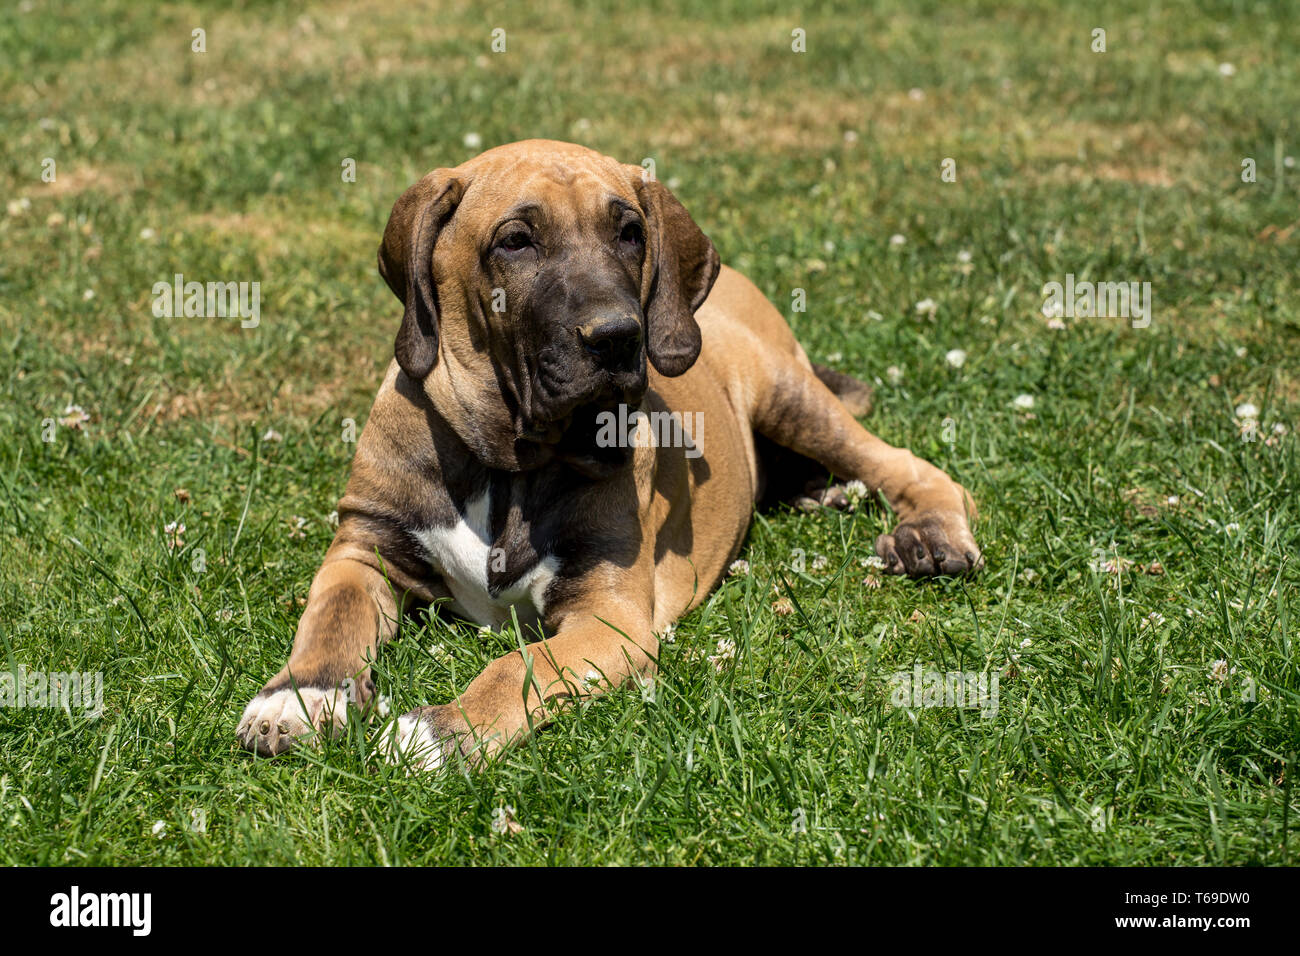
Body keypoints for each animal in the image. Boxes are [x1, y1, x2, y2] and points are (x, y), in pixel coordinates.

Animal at [236, 140, 982, 770]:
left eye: (630, 232)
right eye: (515, 240)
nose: (620, 337)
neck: (509, 463)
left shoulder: (611, 615)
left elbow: (520, 666)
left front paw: (441, 730)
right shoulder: (363, 548)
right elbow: (329, 622)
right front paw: (299, 696)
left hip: (789, 391)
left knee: (910, 466)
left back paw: (928, 534)